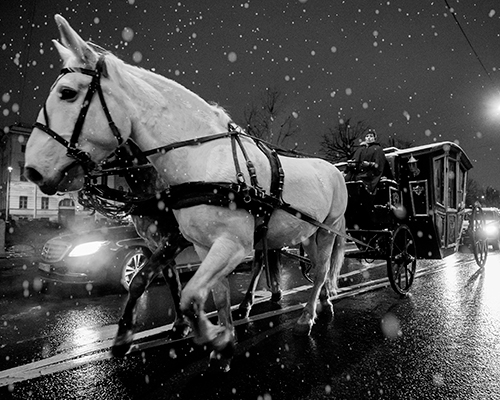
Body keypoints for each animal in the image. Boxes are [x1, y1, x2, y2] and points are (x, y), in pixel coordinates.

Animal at [22, 15, 344, 358]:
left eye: (67, 93)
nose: (32, 170)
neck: (203, 160)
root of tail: (333, 170)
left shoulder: (224, 244)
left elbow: (181, 292)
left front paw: (206, 333)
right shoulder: (196, 245)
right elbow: (202, 292)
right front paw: (218, 334)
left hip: (327, 229)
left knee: (320, 270)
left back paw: (306, 316)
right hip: (303, 232)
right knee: (302, 264)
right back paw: (309, 302)